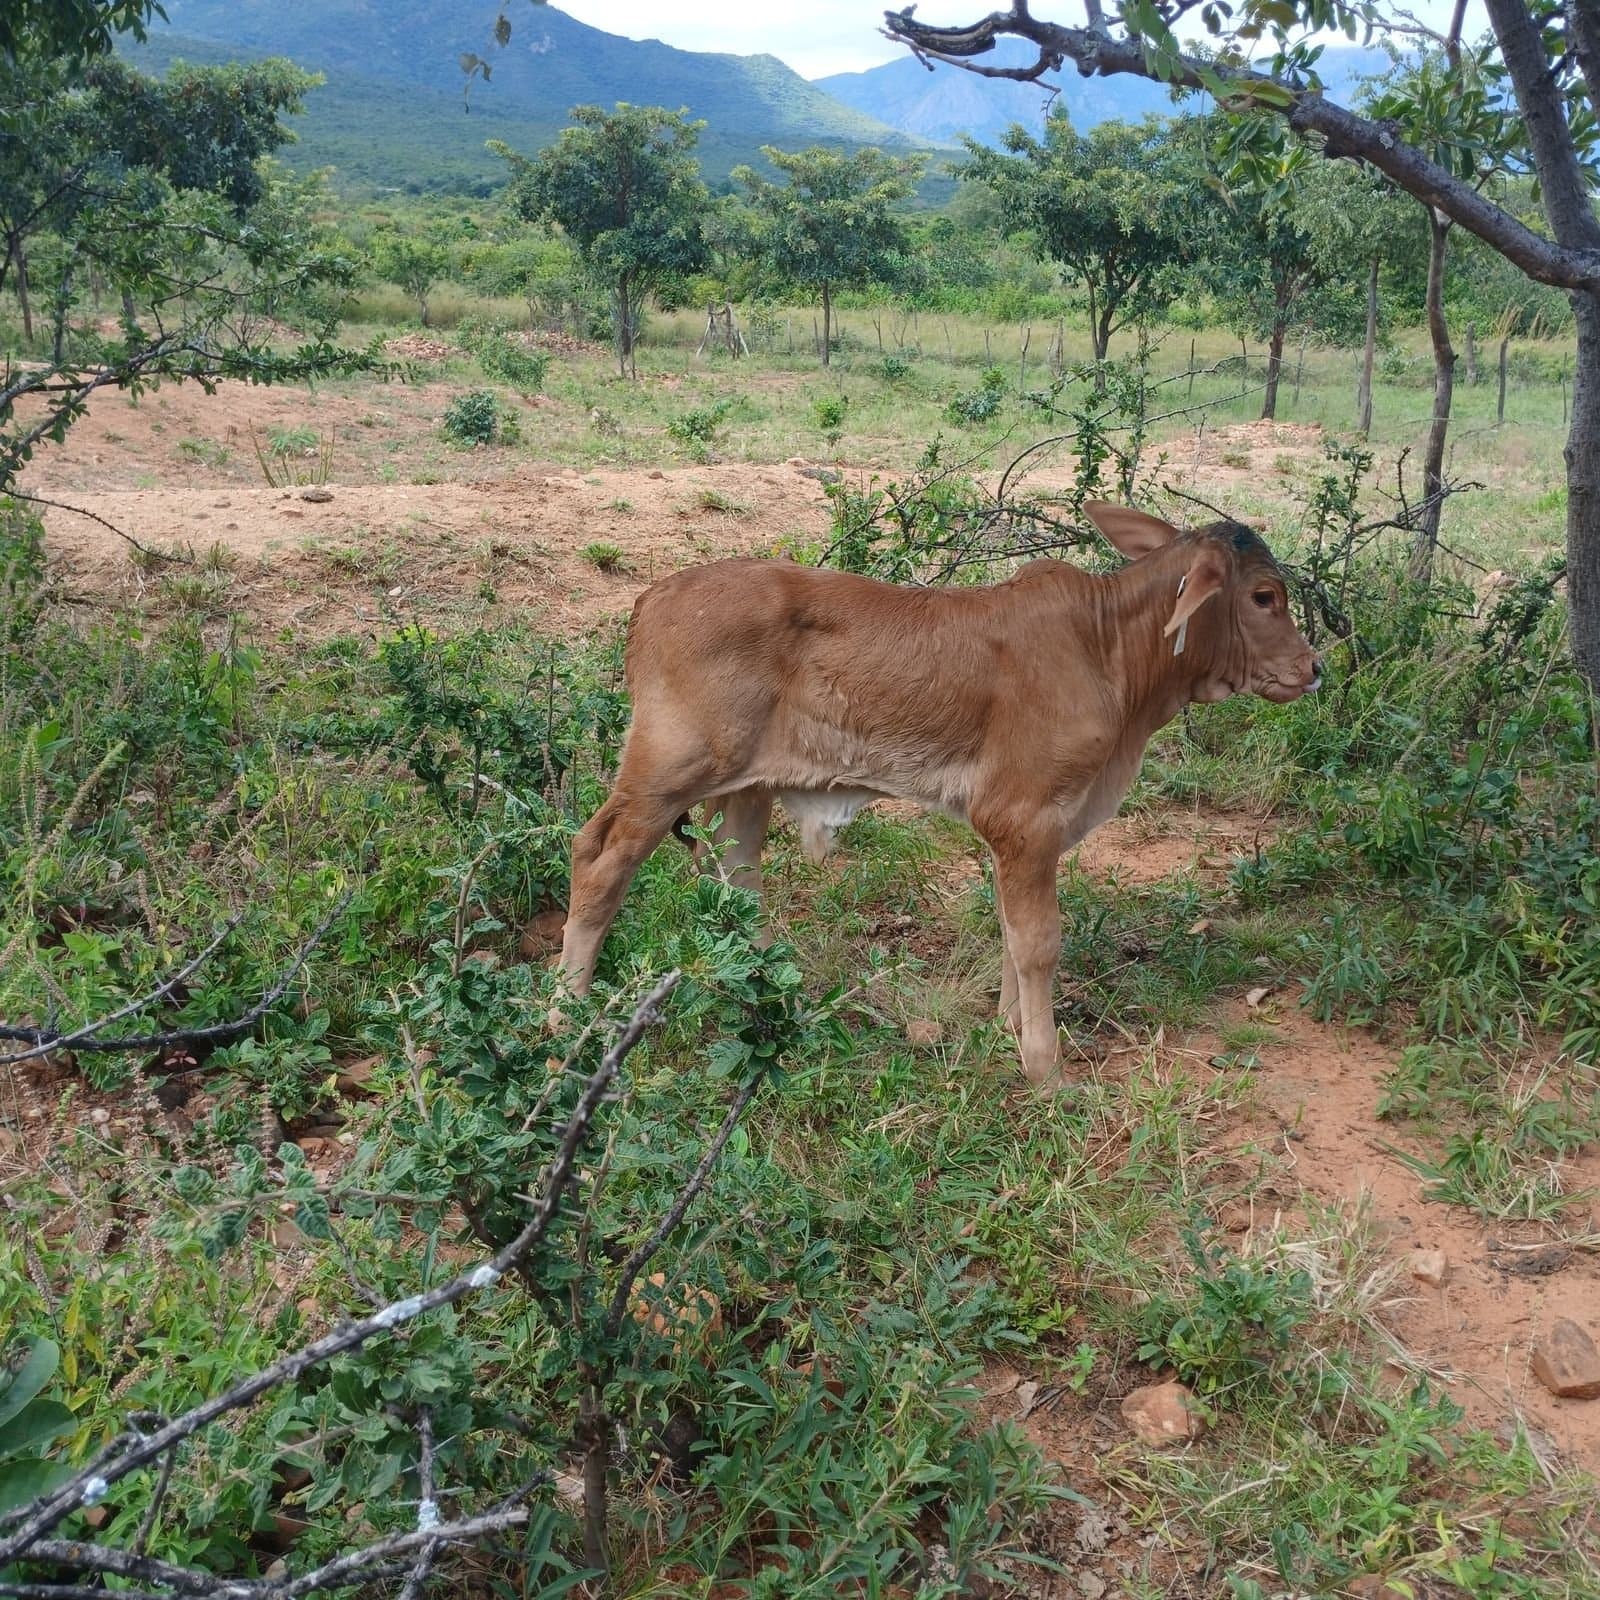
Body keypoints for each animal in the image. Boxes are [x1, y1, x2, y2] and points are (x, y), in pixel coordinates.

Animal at [555, 500, 1321, 1086]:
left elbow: (1012, 929)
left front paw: (1011, 1025)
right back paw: (567, 1012)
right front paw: (1046, 1068)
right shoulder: (1023, 816)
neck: (1110, 651)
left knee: (735, 883)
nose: (1313, 667)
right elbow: (1039, 940)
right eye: (1263, 597)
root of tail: (652, 597)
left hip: (747, 790)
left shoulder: (1027, 833)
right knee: (598, 858)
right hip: (666, 767)